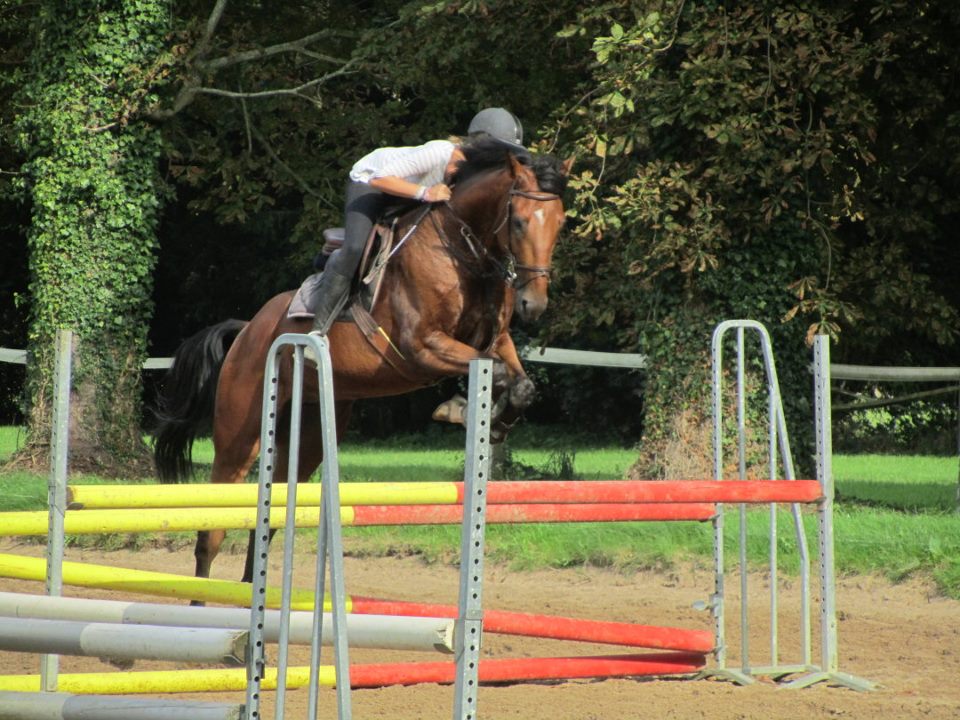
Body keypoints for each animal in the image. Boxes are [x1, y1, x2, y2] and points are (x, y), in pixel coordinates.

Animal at [151, 142, 568, 584]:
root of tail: (247, 330)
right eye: (519, 222)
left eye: (560, 223)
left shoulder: (496, 339)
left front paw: (496, 423)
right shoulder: (423, 348)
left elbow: (520, 382)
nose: (533, 304)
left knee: (271, 515)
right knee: (212, 528)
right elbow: (495, 370)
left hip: (308, 434)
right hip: (238, 435)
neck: (462, 250)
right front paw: (457, 409)